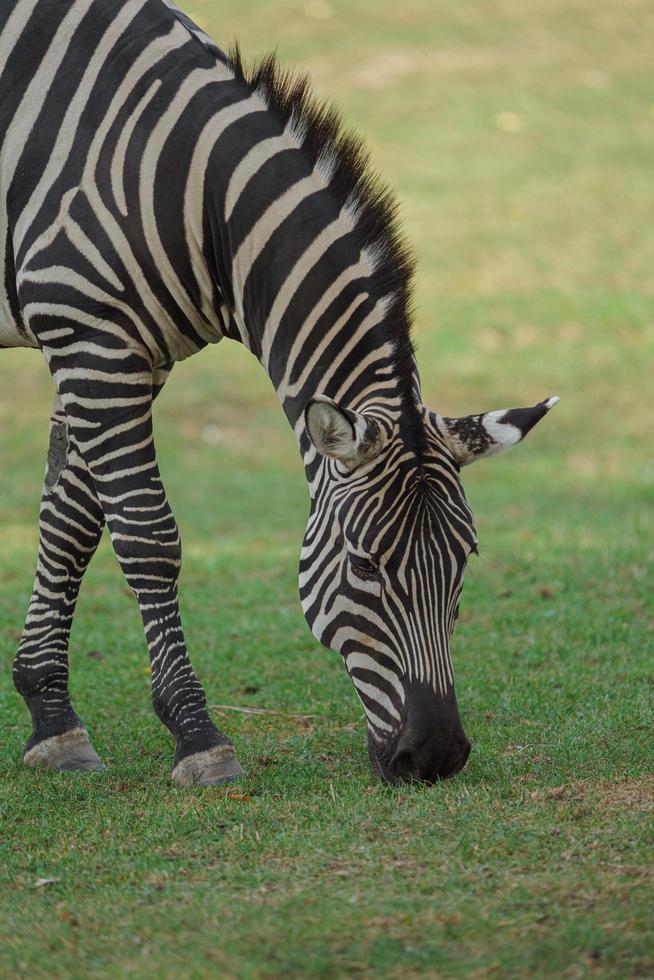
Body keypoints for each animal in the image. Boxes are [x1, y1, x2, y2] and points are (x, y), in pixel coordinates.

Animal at [2, 0, 560, 784]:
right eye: (364, 564)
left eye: (465, 561)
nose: (437, 757)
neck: (194, 195)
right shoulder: (90, 340)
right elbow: (146, 535)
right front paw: (198, 737)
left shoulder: (120, 353)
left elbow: (71, 523)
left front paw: (52, 720)